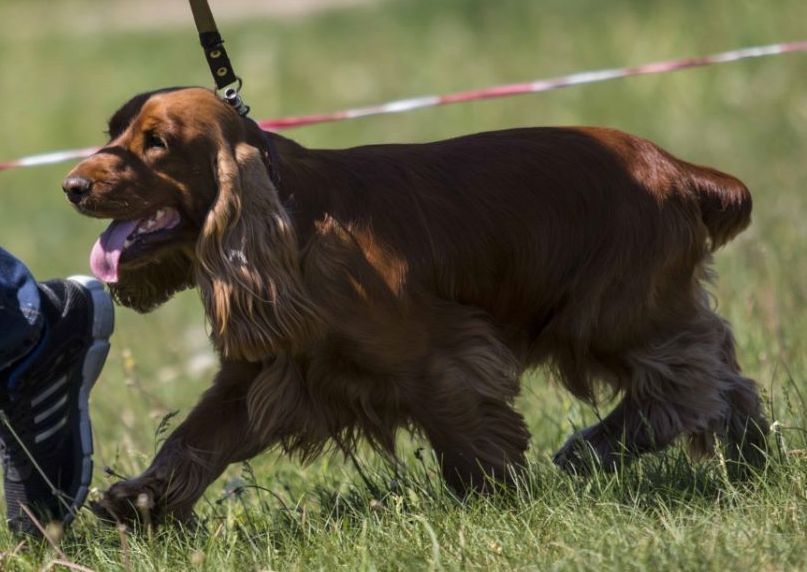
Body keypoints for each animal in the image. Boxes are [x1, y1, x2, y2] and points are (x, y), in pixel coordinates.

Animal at [61, 86, 764, 524]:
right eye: (113, 133)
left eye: (156, 142)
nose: (71, 185)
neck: (293, 221)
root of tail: (676, 169)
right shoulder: (268, 371)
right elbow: (194, 439)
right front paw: (141, 503)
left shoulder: (440, 355)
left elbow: (465, 435)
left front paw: (499, 502)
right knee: (723, 376)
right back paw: (750, 459)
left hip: (606, 313)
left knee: (689, 379)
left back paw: (595, 448)